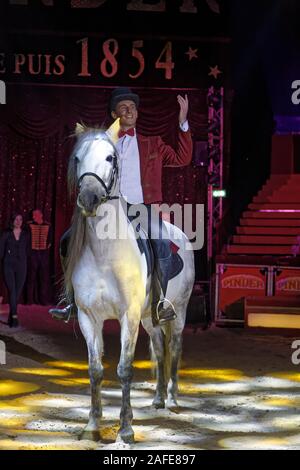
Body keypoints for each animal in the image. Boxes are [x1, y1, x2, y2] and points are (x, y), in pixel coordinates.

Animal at [64, 124, 196, 440]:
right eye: (77, 158)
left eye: (111, 157)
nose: (89, 198)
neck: (104, 252)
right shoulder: (88, 317)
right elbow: (95, 370)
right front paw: (92, 426)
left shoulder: (129, 315)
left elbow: (124, 369)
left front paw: (125, 429)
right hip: (149, 317)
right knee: (159, 348)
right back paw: (159, 398)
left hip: (179, 310)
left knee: (174, 348)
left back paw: (173, 399)